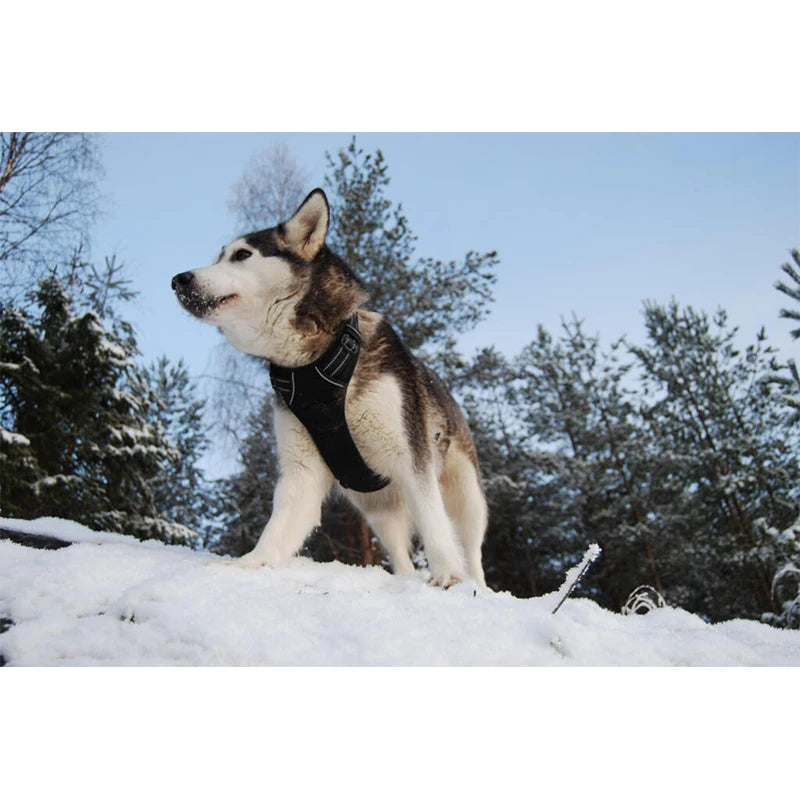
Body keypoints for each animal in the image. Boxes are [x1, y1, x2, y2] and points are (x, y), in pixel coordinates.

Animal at [173, 189, 488, 588]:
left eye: (242, 255)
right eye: (218, 256)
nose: (179, 279)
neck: (315, 365)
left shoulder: (412, 459)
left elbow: (433, 522)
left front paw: (447, 574)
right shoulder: (301, 471)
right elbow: (277, 528)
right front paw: (249, 564)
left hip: (466, 495)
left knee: (471, 547)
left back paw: (475, 582)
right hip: (379, 509)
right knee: (400, 553)